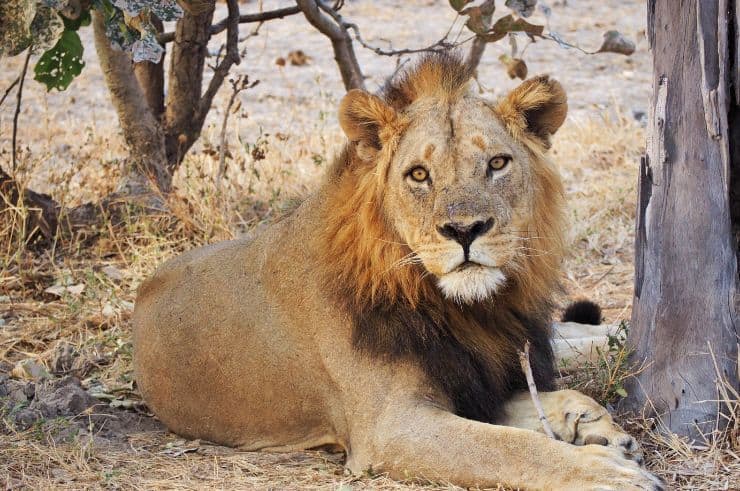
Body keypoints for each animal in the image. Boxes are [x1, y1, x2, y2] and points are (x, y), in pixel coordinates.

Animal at [134, 54, 664, 491]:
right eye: (418, 175)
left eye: (497, 163)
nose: (465, 229)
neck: (461, 309)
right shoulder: (390, 426)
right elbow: (510, 448)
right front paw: (610, 471)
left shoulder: (476, 375)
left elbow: (545, 400)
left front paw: (597, 426)